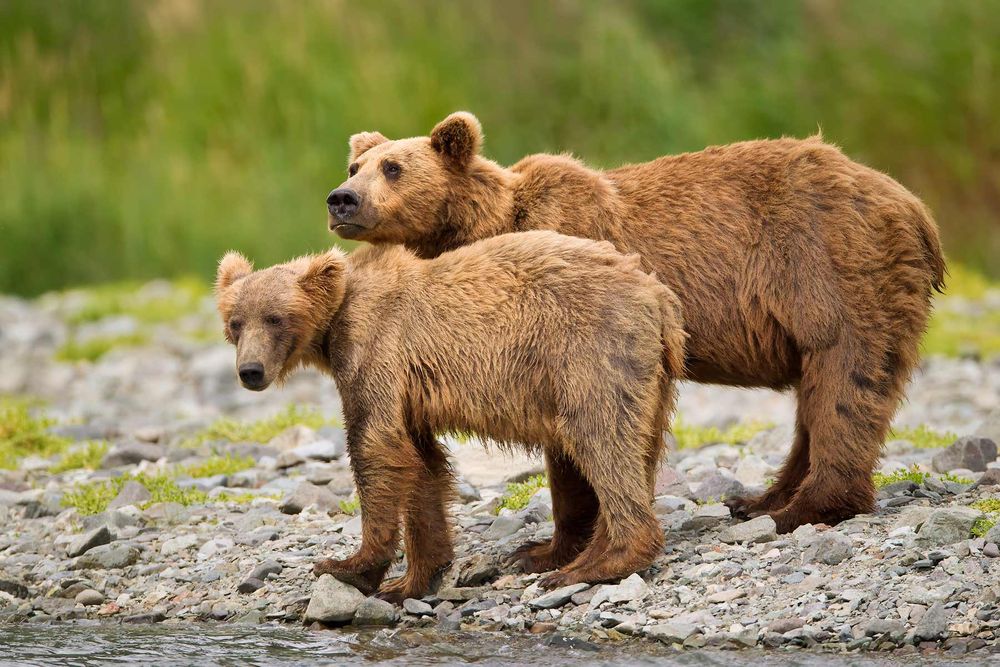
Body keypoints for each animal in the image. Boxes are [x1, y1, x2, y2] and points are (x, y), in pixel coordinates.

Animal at [214, 230, 687, 602]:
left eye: (275, 318)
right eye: (236, 322)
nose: (250, 370)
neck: (333, 325)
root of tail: (657, 295)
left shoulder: (374, 350)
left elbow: (374, 446)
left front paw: (348, 565)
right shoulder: (409, 394)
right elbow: (423, 467)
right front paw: (414, 577)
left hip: (591, 350)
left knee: (601, 439)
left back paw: (591, 565)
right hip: (654, 376)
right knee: (640, 447)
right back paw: (567, 554)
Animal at [325, 112, 946, 541]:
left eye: (394, 168)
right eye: (355, 166)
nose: (341, 199)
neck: (484, 227)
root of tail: (915, 207)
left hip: (831, 268)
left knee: (846, 377)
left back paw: (806, 507)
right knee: (817, 398)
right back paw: (762, 499)